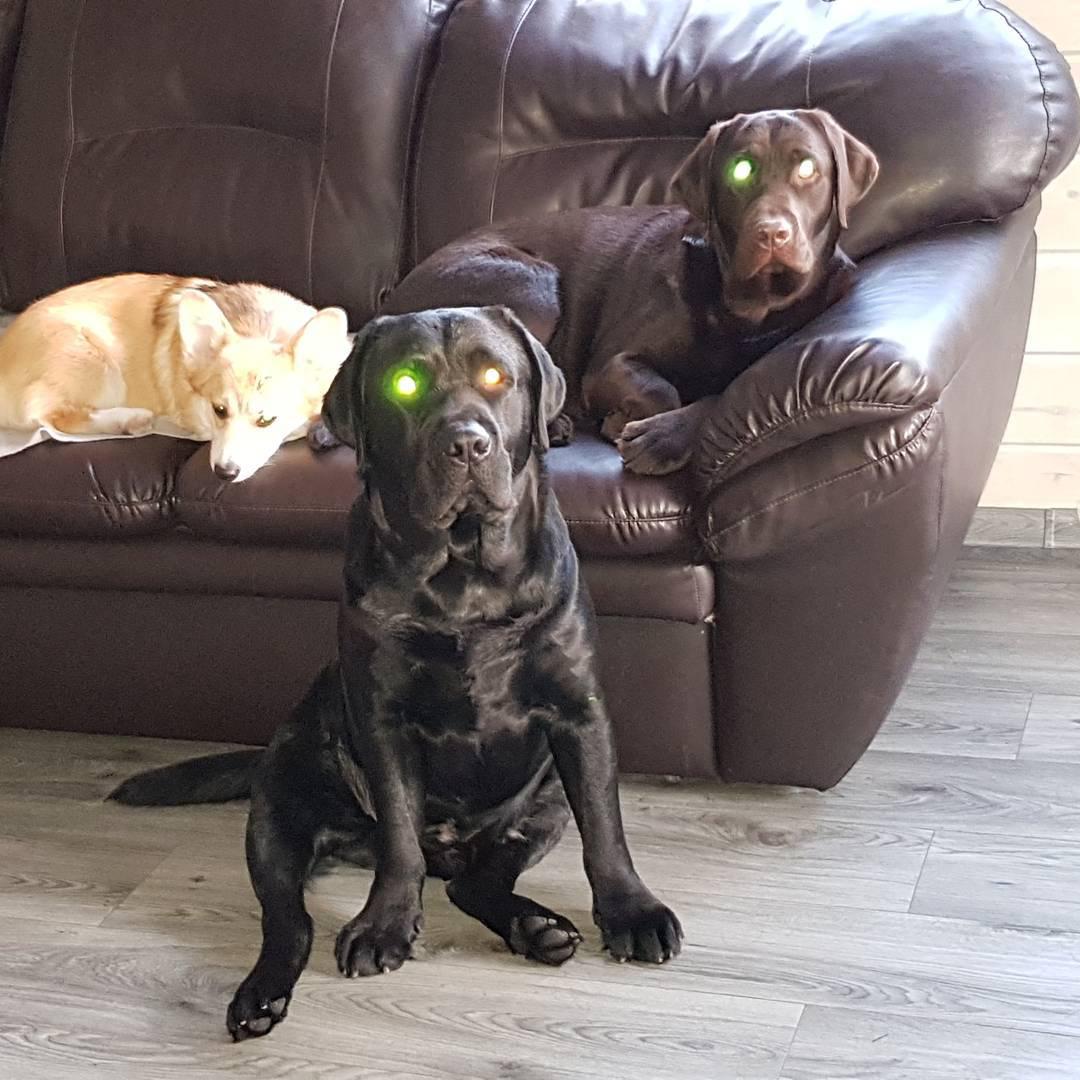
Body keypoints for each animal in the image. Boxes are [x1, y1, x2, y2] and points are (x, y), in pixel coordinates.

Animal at [111, 304, 682, 1036]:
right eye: (405, 385)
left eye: (496, 377)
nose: (466, 445)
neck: (464, 578)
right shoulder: (384, 720)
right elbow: (401, 841)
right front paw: (385, 924)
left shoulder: (579, 715)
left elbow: (606, 831)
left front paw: (630, 910)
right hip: (277, 812)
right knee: (289, 918)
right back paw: (261, 995)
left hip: (545, 800)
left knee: (474, 881)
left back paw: (536, 927)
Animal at [380, 108, 876, 473]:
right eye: (741, 170)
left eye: (807, 168)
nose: (771, 233)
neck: (745, 306)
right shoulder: (608, 364)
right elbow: (663, 389)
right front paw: (638, 426)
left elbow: (721, 394)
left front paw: (662, 435)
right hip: (532, 284)